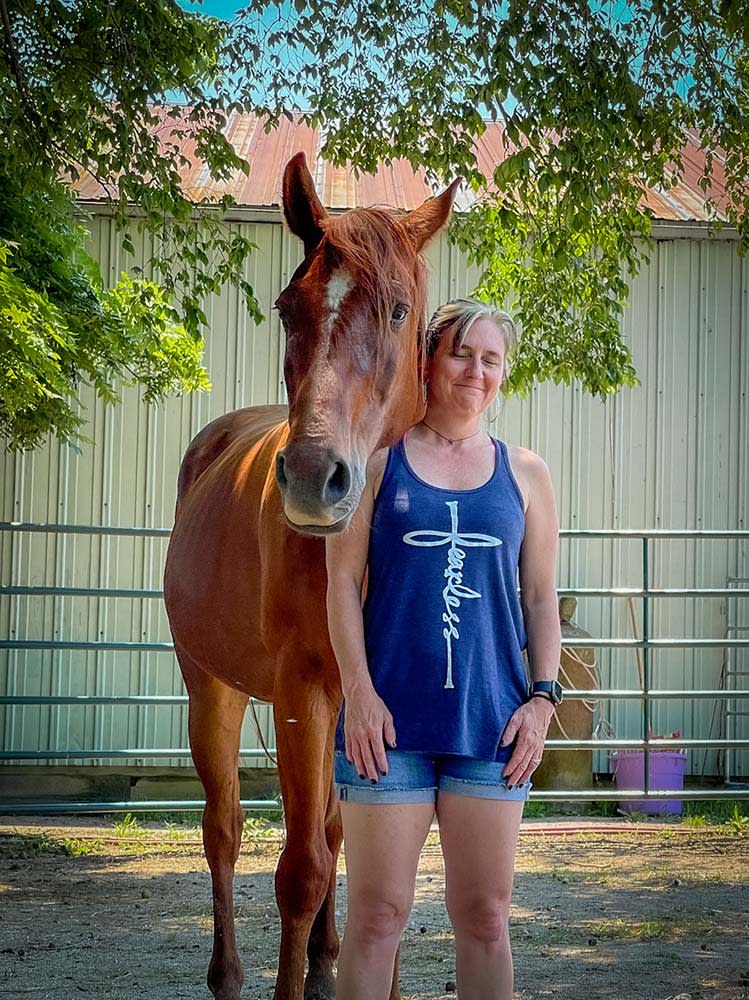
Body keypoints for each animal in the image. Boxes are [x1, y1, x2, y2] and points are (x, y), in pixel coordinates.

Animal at [163, 151, 459, 1000]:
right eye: (287, 309)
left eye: (397, 312)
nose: (310, 478)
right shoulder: (300, 692)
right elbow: (299, 869)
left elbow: (369, 857)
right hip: (212, 689)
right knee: (224, 828)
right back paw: (228, 973)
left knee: (329, 828)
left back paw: (328, 960)